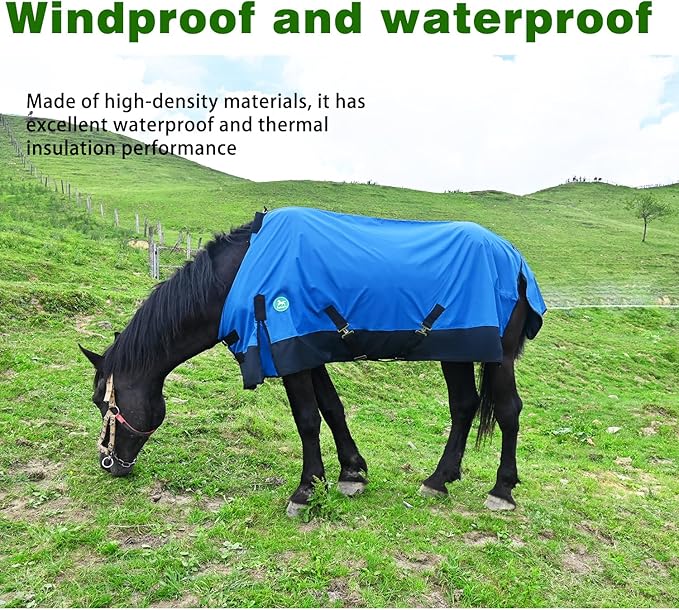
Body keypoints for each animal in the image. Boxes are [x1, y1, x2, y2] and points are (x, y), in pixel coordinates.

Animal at [80, 207, 546, 516]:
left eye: (104, 403)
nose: (110, 465)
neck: (245, 274)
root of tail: (516, 260)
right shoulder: (306, 350)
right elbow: (331, 409)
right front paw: (351, 473)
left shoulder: (290, 355)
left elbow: (307, 418)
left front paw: (305, 491)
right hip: (458, 351)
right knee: (464, 407)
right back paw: (438, 480)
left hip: (497, 357)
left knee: (508, 411)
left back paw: (501, 490)